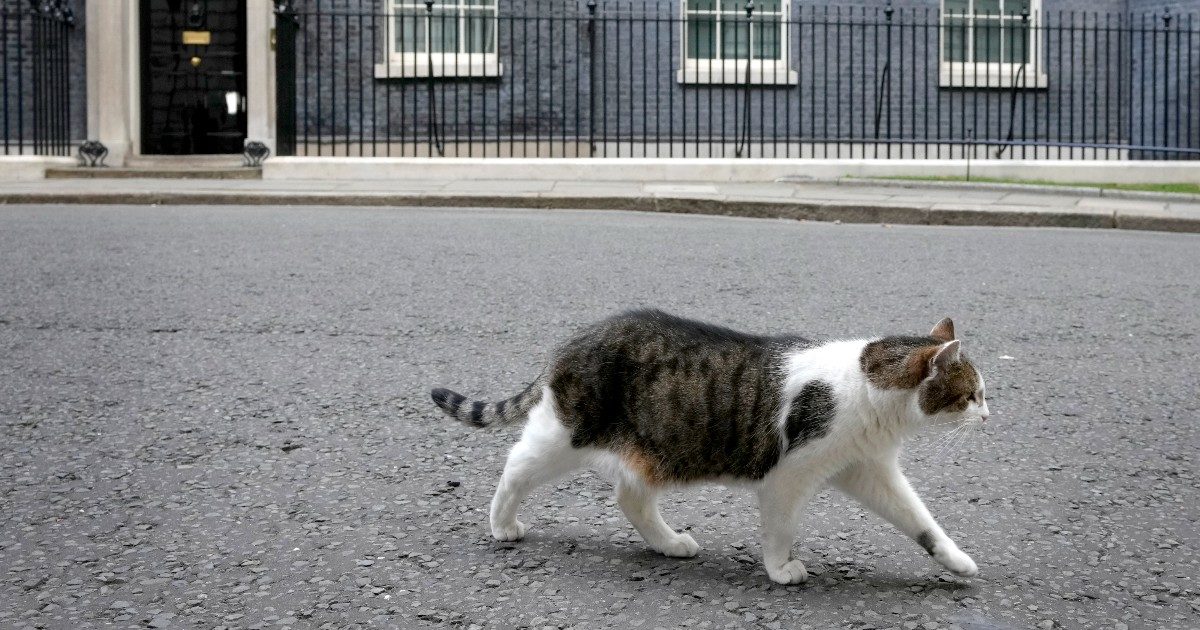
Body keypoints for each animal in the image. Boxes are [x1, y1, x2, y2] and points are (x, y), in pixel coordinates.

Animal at [427, 309, 988, 585]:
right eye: (971, 395)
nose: (989, 416)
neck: (868, 389)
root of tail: (576, 339)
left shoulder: (868, 470)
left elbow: (921, 522)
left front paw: (957, 562)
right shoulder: (787, 479)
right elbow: (780, 530)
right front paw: (780, 571)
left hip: (653, 449)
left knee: (630, 496)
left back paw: (669, 543)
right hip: (564, 435)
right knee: (515, 466)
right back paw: (502, 523)